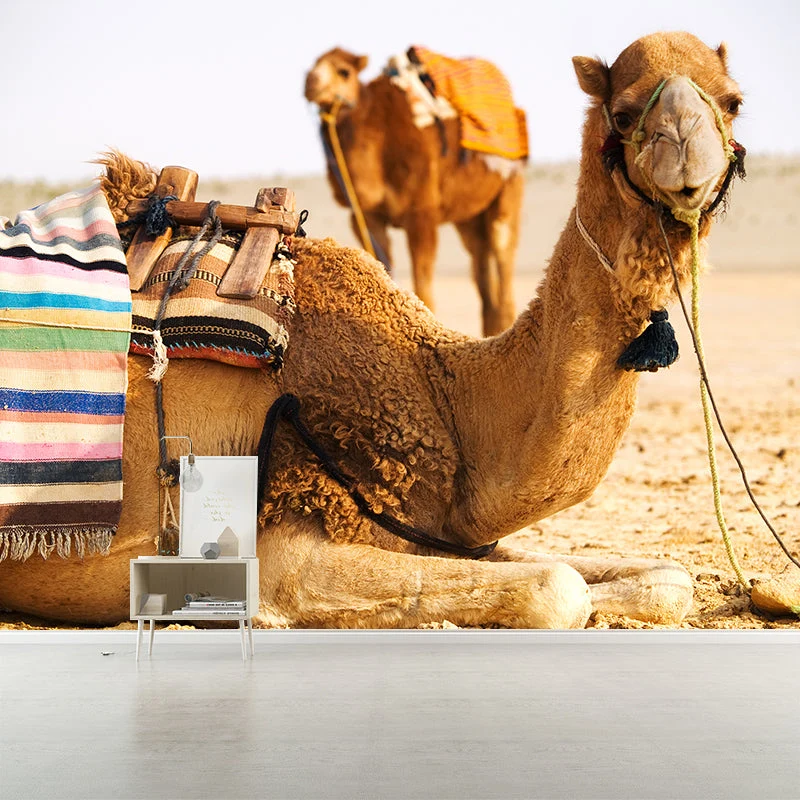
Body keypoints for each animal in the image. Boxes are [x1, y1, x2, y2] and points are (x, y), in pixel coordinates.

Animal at [304, 47, 526, 336]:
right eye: (313, 65)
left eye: (344, 71)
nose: (310, 82)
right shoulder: (366, 215)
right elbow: (382, 265)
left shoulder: (422, 212)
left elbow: (423, 280)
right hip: (468, 216)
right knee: (479, 259)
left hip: (509, 187)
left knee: (502, 251)